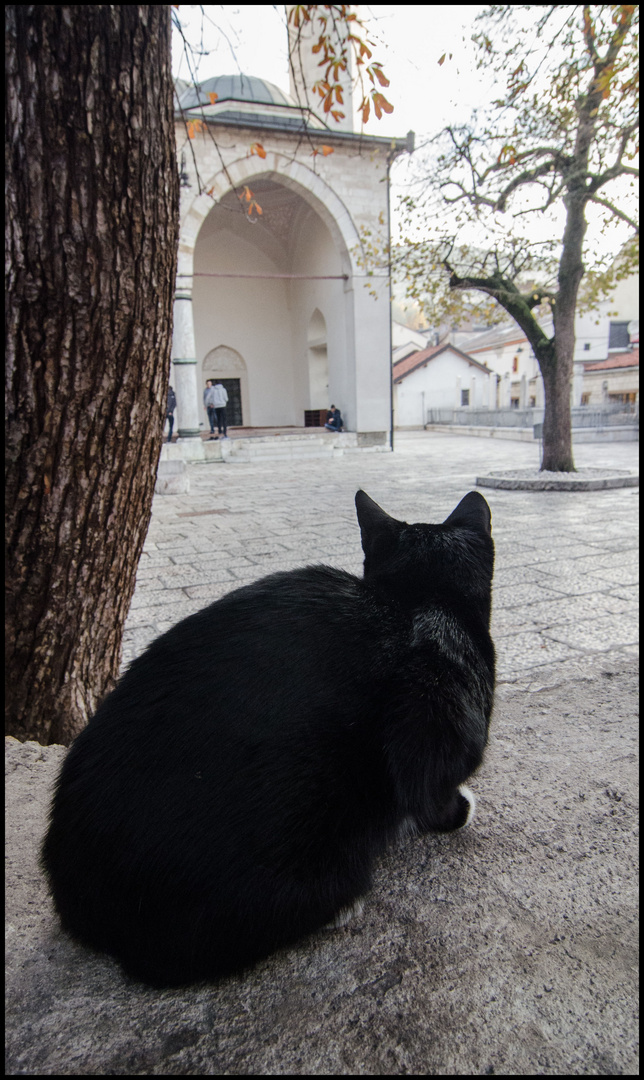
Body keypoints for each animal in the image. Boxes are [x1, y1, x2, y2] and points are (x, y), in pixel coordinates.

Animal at [41, 490, 492, 989]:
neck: (418, 598)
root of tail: (85, 906)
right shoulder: (438, 715)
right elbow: (432, 790)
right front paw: (458, 809)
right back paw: (341, 907)